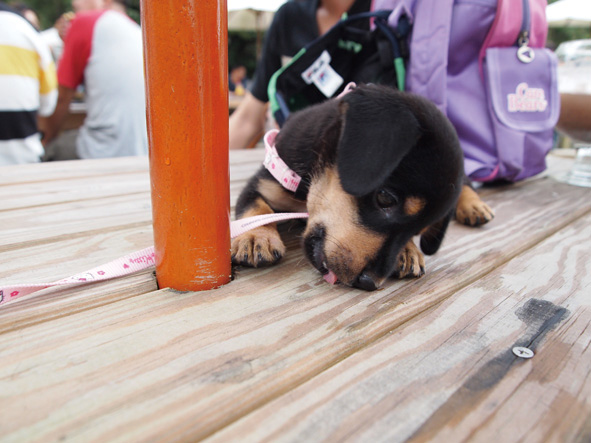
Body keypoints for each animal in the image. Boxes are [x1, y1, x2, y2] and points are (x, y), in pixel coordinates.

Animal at [234, 84, 492, 292]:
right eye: (385, 198)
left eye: (418, 232)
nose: (369, 282)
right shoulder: (262, 182)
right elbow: (256, 207)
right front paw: (255, 237)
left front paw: (408, 251)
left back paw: (474, 206)